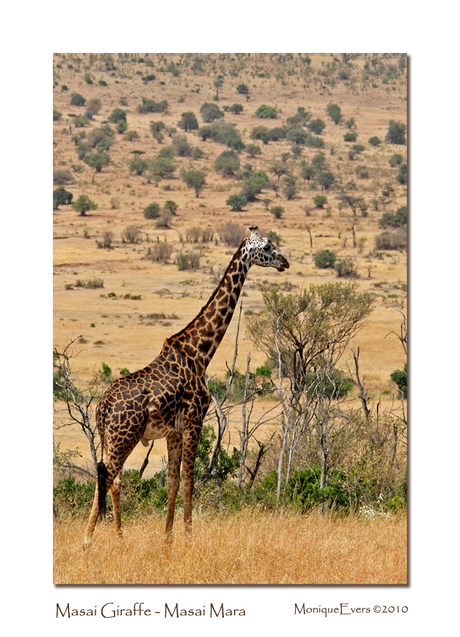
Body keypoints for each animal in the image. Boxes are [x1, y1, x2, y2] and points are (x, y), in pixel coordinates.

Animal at [83, 225, 288, 548]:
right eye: (267, 247)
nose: (285, 262)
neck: (199, 352)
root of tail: (102, 407)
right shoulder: (195, 422)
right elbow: (191, 482)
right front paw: (189, 539)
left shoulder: (173, 431)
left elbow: (173, 482)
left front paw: (167, 539)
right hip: (123, 437)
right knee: (108, 478)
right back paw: (90, 541)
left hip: (107, 439)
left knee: (110, 478)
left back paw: (116, 537)